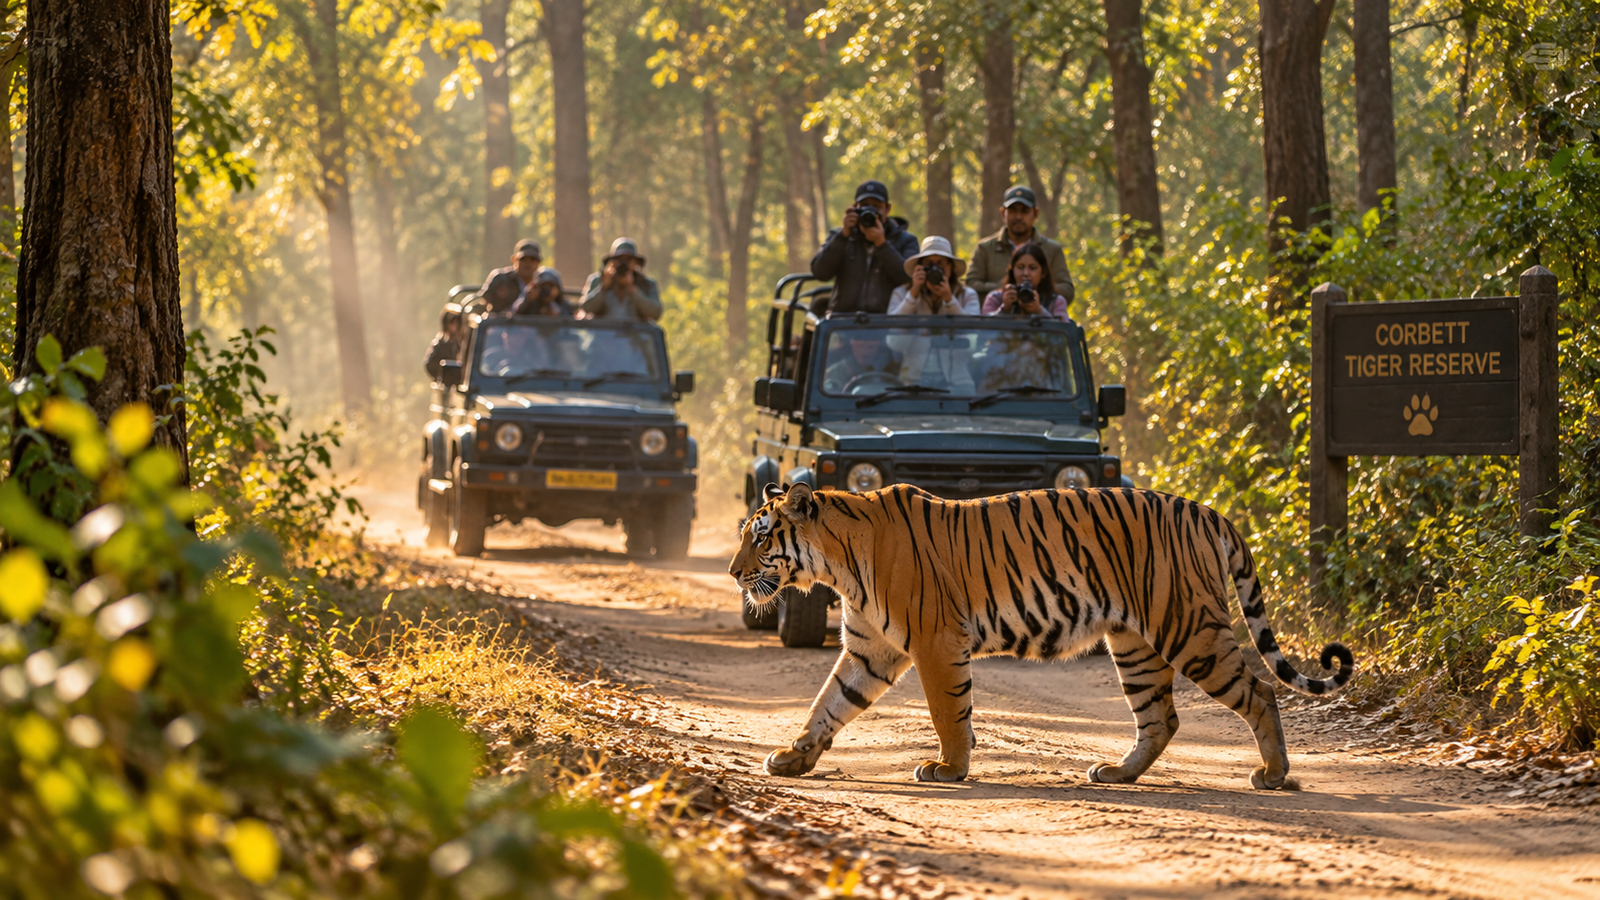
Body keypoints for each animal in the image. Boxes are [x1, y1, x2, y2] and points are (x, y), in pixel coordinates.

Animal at [729, 482, 1354, 790]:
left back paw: (1273, 775)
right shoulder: (869, 650)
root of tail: (1208, 512)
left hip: (1188, 628)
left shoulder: (935, 642)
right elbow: (828, 704)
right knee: (1160, 717)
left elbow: (948, 712)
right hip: (1135, 642)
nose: (733, 573)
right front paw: (793, 758)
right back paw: (1117, 774)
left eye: (761, 538)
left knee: (1260, 691)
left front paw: (949, 769)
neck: (836, 563)